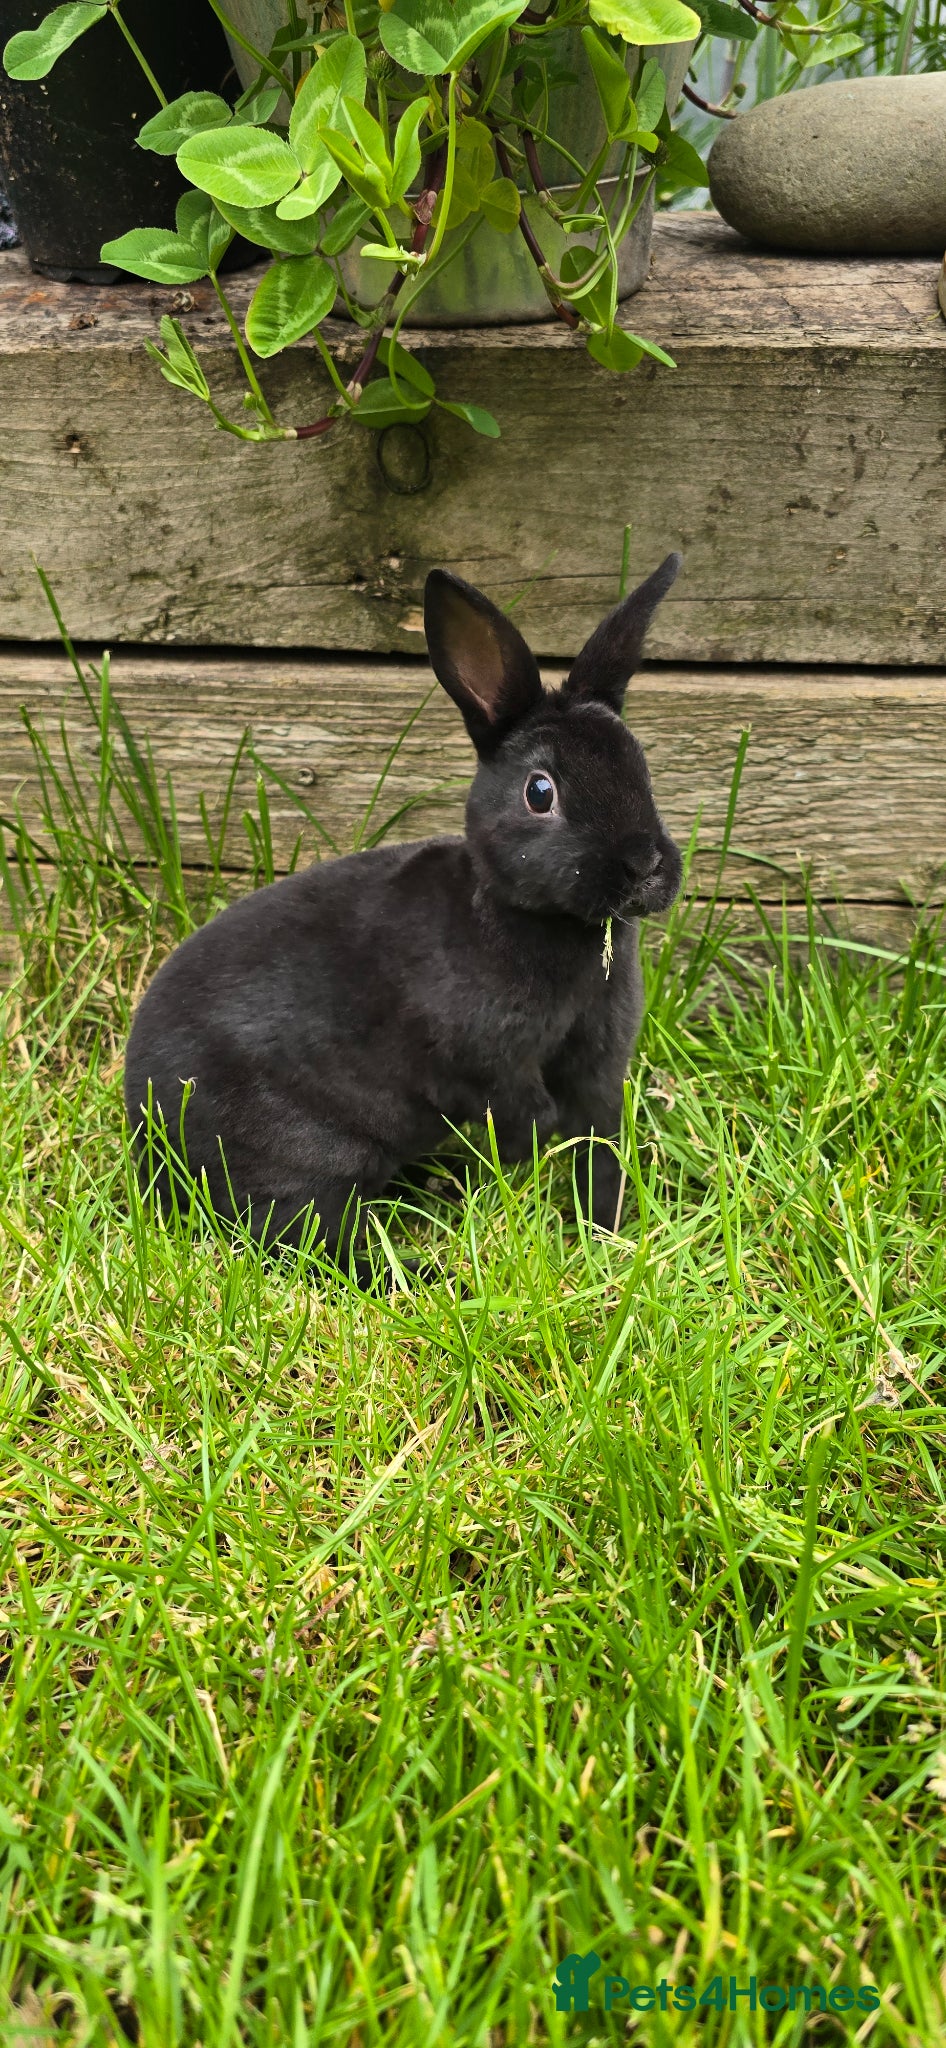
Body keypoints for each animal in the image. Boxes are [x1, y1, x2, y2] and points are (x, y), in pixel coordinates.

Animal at [124, 552, 684, 1270]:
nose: (645, 865)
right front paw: (534, 1155)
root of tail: (149, 1137)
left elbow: (601, 1152)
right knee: (309, 1242)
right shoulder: (484, 1064)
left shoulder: (599, 1067)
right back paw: (426, 1271)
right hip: (306, 1158)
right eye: (540, 792)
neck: (548, 926)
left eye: (642, 769)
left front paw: (604, 1238)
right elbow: (524, 1110)